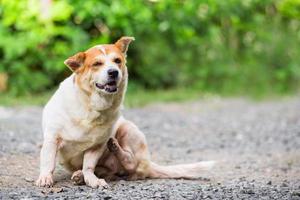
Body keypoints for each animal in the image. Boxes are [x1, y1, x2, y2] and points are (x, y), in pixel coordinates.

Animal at [36, 36, 214, 188]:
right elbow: (48, 162)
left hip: (128, 129)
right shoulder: (52, 139)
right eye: (97, 64)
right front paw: (45, 177)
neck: (92, 107)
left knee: (131, 163)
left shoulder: (97, 146)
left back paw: (114, 149)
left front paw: (92, 179)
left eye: (117, 61)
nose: (113, 72)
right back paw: (80, 175)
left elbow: (89, 166)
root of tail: (149, 164)